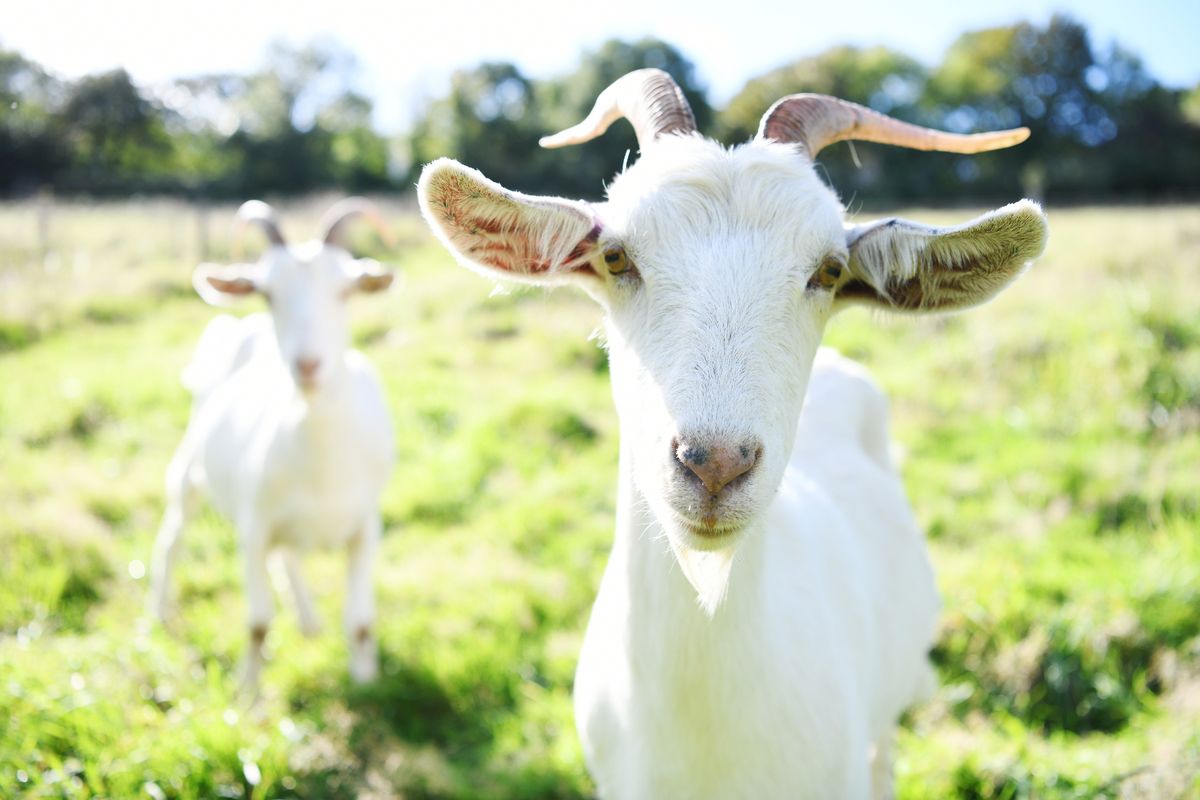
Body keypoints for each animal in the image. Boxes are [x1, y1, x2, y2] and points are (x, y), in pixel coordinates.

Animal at [148, 198, 397, 687]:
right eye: (267, 294)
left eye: (346, 290)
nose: (308, 364)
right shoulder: (253, 529)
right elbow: (258, 623)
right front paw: (248, 693)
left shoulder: (366, 526)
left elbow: (360, 621)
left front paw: (367, 681)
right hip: (189, 469)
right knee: (172, 538)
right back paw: (158, 612)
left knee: (289, 558)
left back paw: (309, 620)